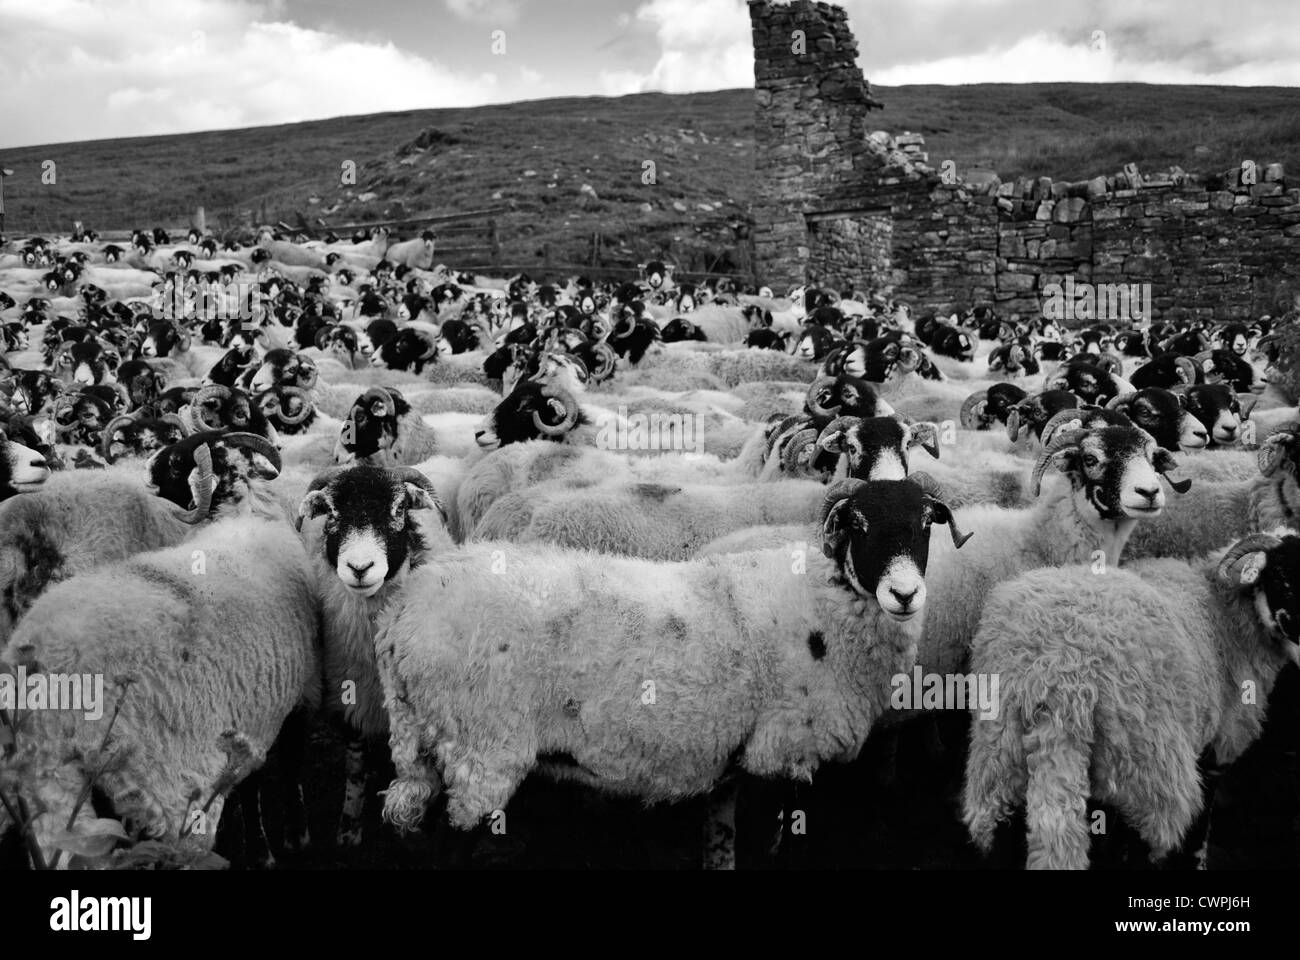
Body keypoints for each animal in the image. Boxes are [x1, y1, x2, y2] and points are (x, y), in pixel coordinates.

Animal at [361, 468, 972, 858]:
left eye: (926, 525)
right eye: (858, 525)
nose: (904, 594)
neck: (825, 607)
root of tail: (404, 610)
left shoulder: (740, 764)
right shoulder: (779, 753)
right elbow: (771, 845)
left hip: (430, 743)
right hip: (481, 747)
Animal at [967, 530, 1300, 868]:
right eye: (1280, 577)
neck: (1222, 612)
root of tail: (1059, 671)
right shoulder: (1217, 748)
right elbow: (1200, 830)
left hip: (999, 749)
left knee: (1001, 828)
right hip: (1141, 766)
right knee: (1132, 843)